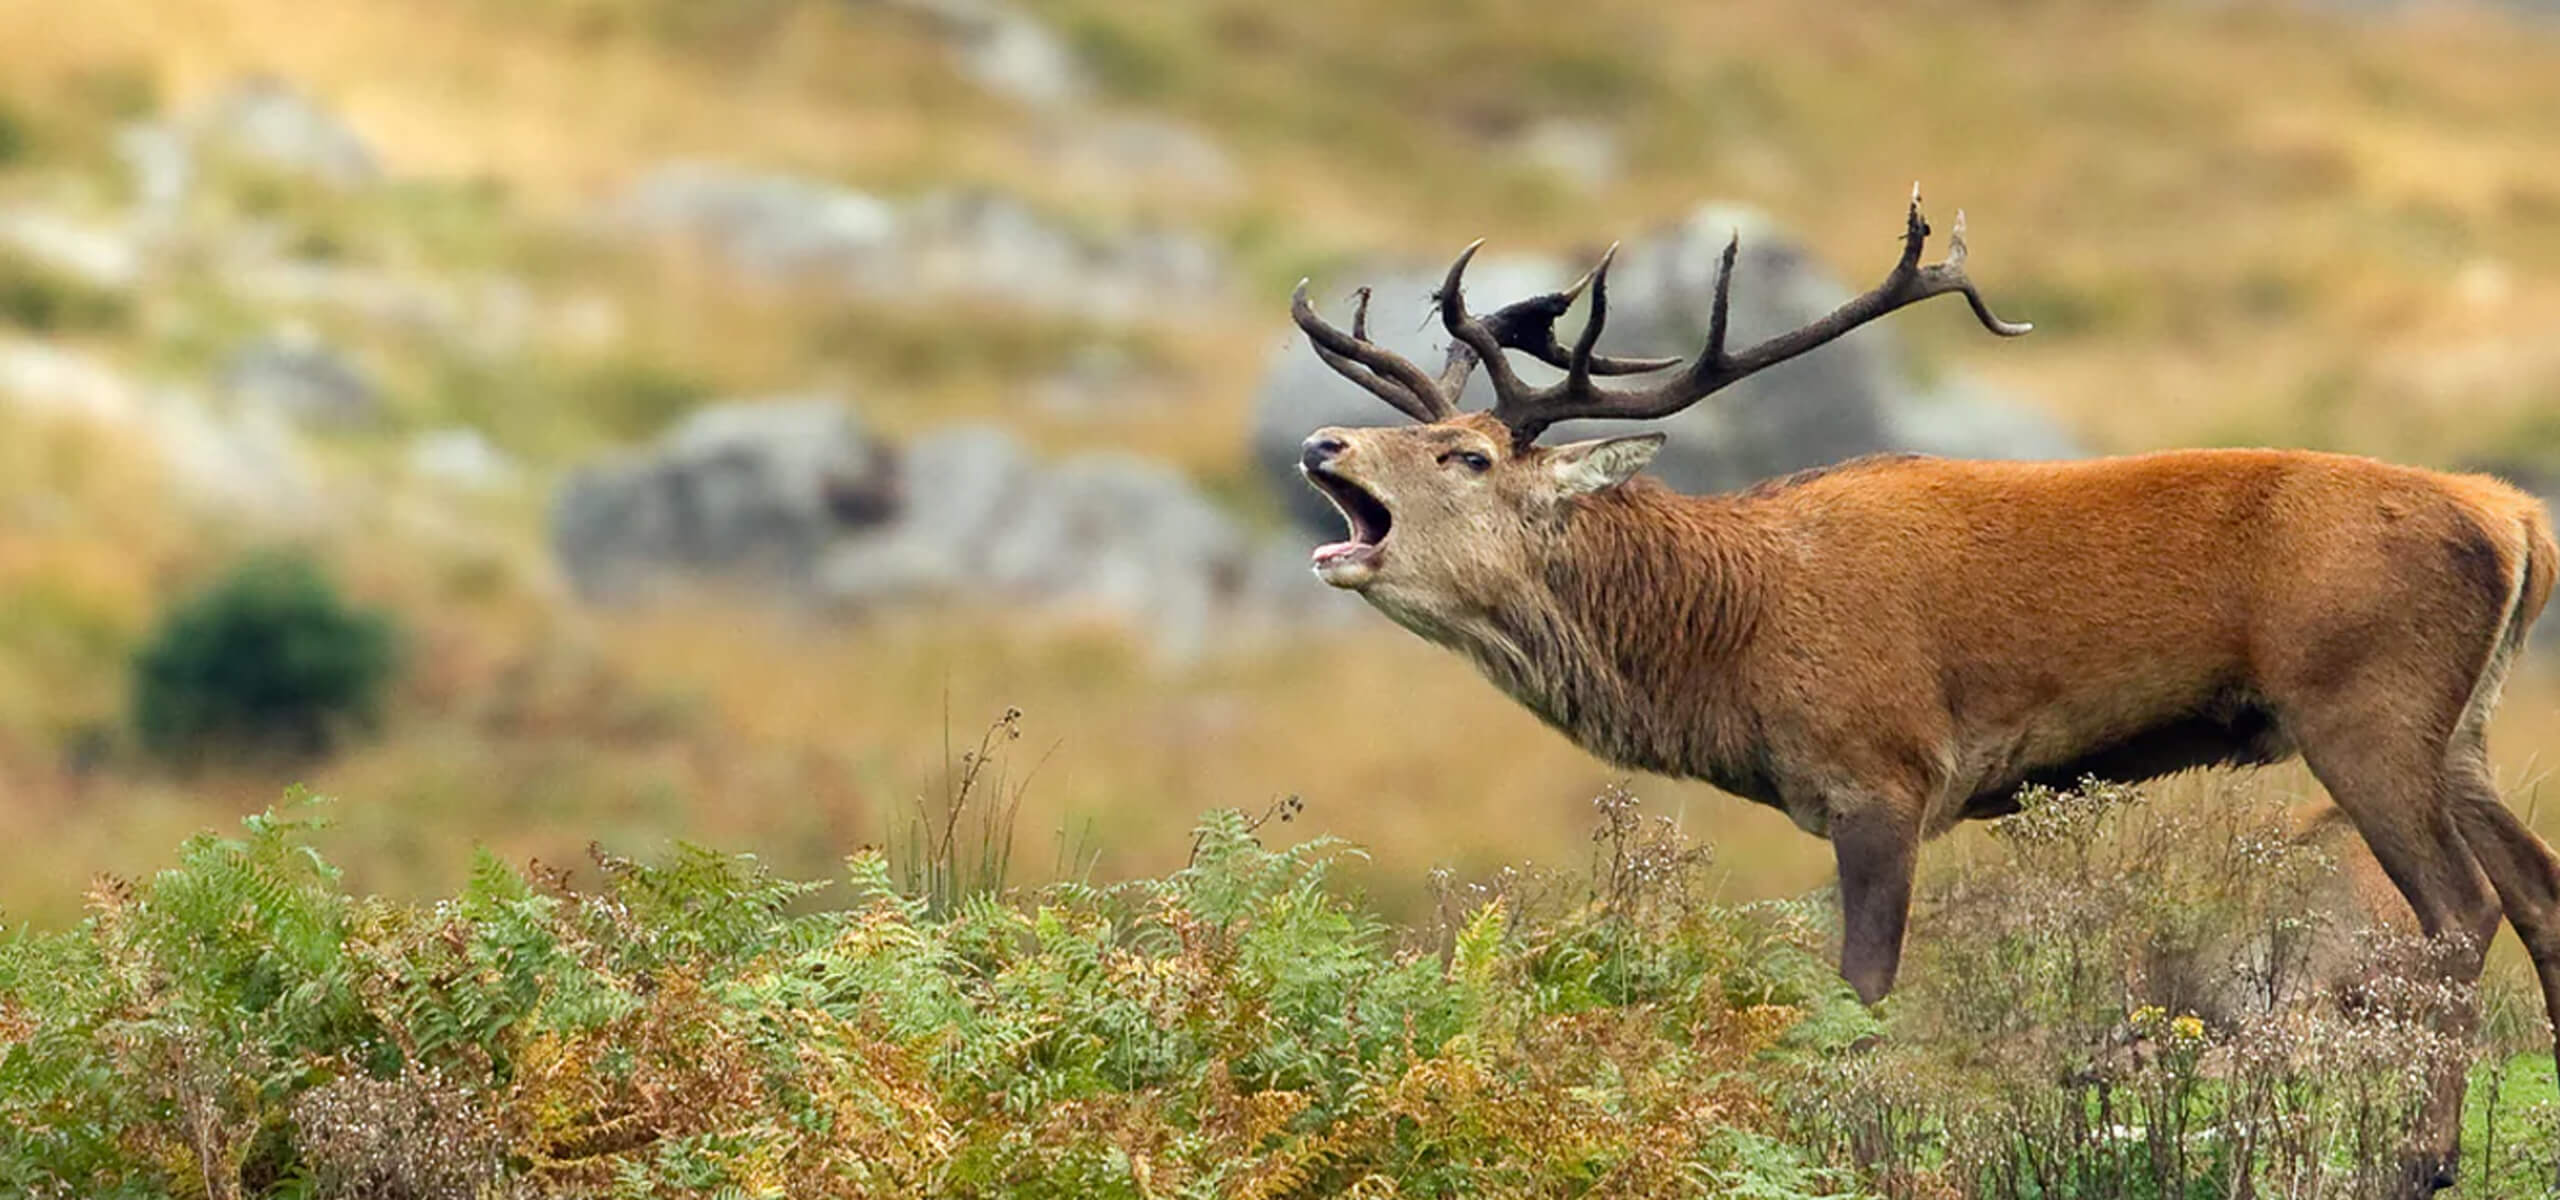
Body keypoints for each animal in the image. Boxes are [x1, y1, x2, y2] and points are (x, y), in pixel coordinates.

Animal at [1289, 187, 2560, 1194]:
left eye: (1467, 457)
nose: (1320, 444)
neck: (1731, 643)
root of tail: (2513, 518)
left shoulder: (1882, 772)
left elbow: (1859, 995)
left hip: (2363, 706)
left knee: (2459, 913)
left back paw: (2419, 1160)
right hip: (2462, 728)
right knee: (2540, 892)